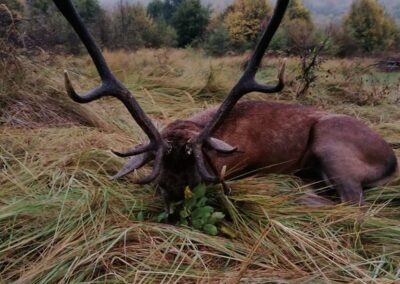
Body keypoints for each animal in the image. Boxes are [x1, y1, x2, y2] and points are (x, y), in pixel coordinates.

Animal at [53, 0, 396, 212]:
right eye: (160, 183)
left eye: (196, 181)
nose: (177, 209)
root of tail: (392, 162)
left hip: (331, 141)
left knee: (355, 203)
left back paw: (302, 197)